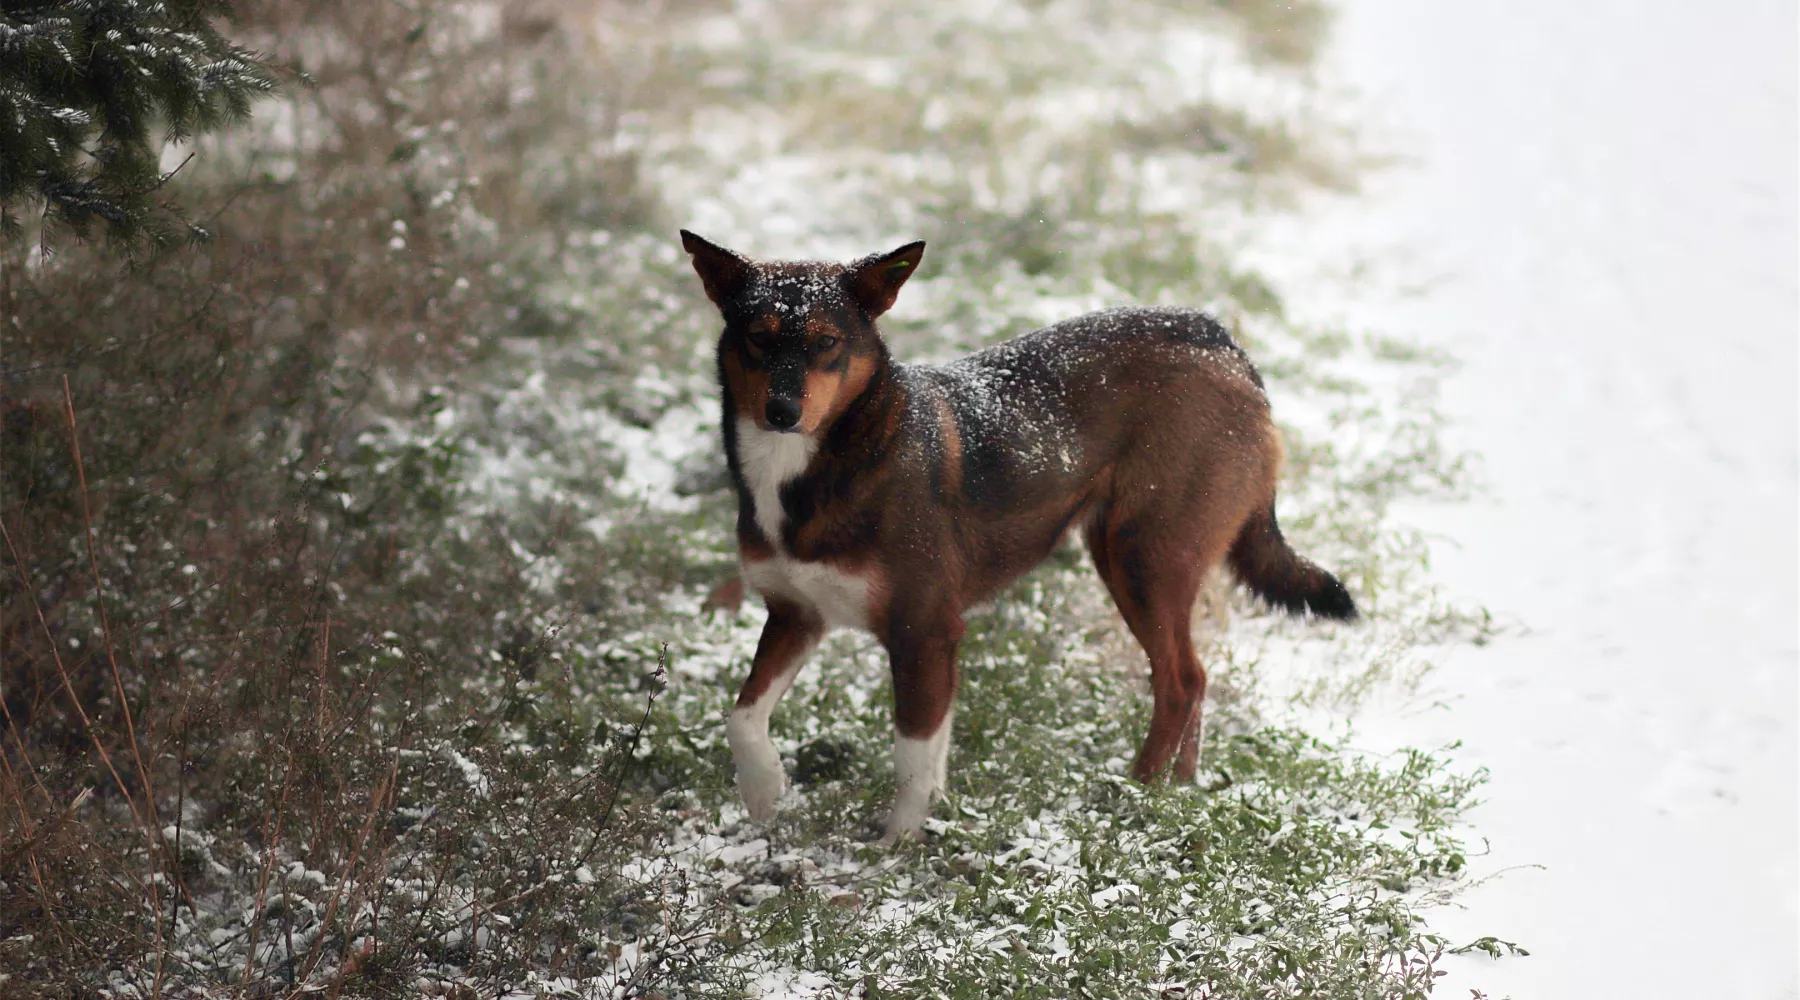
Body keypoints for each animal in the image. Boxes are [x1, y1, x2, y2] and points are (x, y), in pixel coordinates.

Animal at [680, 232, 1353, 834]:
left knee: (1181, 682)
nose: (782, 412)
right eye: (758, 338)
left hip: (1142, 559)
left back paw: (1138, 792)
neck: (829, 461)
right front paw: (764, 790)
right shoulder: (797, 615)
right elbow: (742, 718)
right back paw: (1180, 789)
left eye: (826, 342)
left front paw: (896, 848)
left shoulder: (923, 629)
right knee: (1196, 677)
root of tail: (1220, 341)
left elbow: (910, 759)